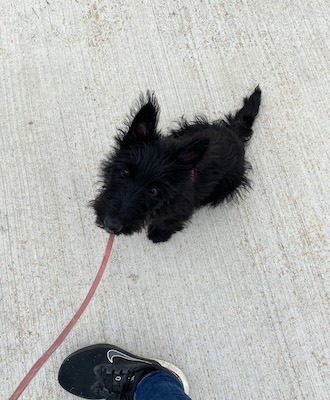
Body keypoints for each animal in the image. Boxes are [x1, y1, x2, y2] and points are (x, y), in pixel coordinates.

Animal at [91, 88, 262, 242]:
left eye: (154, 191)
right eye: (125, 172)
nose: (112, 225)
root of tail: (234, 131)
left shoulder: (179, 208)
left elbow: (167, 220)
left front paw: (159, 234)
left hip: (227, 184)